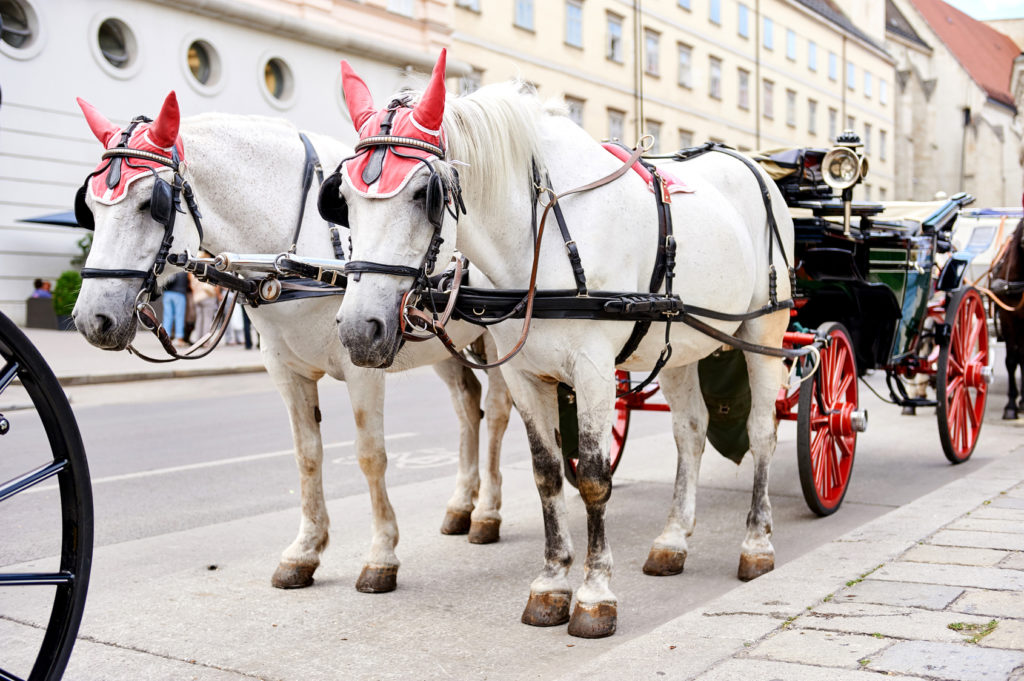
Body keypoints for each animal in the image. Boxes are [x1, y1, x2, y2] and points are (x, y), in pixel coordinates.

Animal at [74, 93, 512, 593]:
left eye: (152, 203)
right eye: (89, 207)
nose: (92, 319)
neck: (297, 260)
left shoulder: (363, 365)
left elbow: (371, 456)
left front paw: (381, 555)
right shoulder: (287, 372)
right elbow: (307, 456)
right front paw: (305, 551)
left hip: (498, 336)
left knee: (497, 412)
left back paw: (487, 513)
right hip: (441, 343)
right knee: (467, 410)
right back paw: (461, 506)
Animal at [327, 53, 790, 639]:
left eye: (420, 195)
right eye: (341, 199)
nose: (357, 330)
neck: (540, 237)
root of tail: (754, 166)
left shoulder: (593, 370)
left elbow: (592, 478)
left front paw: (594, 596)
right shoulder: (525, 376)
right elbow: (548, 475)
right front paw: (551, 584)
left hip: (763, 330)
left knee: (761, 431)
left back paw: (757, 542)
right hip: (679, 342)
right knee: (691, 432)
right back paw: (673, 539)